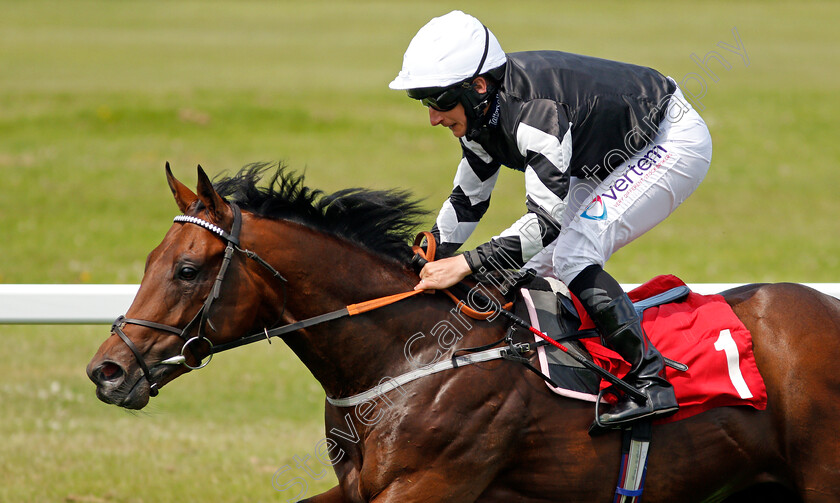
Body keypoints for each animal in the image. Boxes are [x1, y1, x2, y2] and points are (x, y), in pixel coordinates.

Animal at [87, 163, 840, 502]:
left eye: (187, 269)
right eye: (149, 261)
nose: (107, 370)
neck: (408, 353)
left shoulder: (428, 486)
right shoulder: (358, 489)